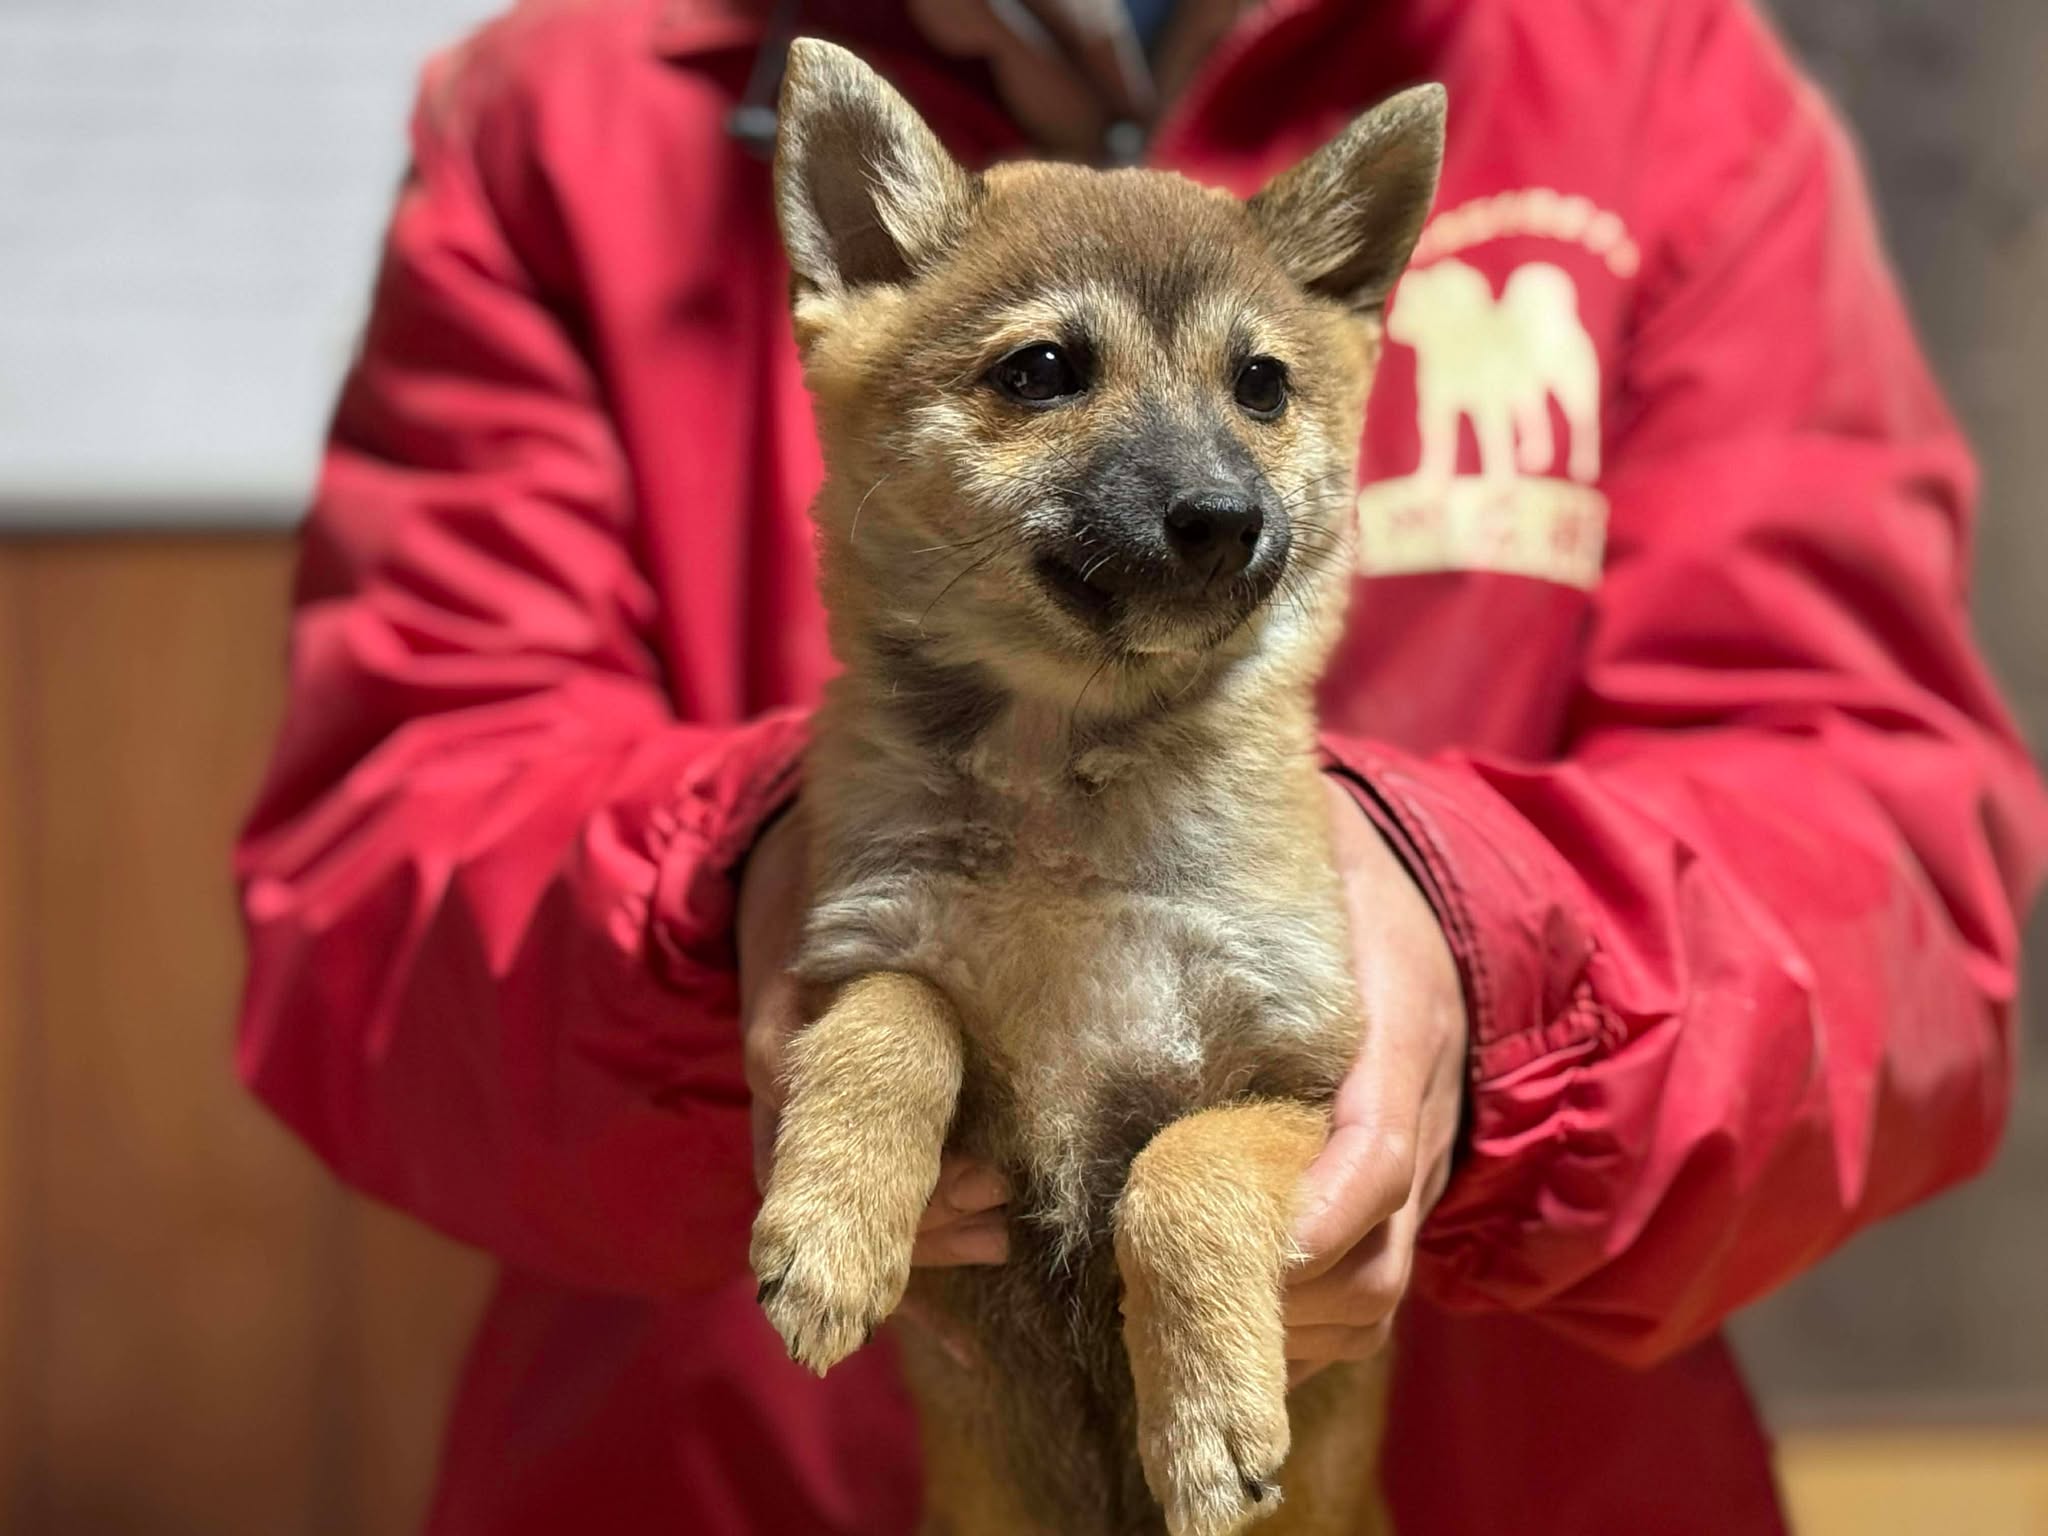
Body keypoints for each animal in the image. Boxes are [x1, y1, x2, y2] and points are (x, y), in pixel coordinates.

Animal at [748, 39, 1445, 1536]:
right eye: (1044, 370)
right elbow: (898, 1020)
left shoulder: (1299, 1085)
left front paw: (1208, 1423)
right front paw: (830, 1229)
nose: (1223, 519)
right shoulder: (861, 955)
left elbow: (1174, 1185)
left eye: (1261, 385)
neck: (1067, 810)